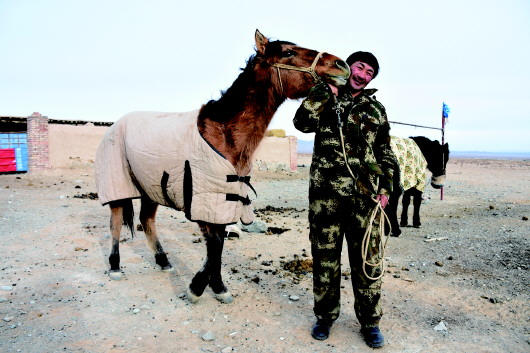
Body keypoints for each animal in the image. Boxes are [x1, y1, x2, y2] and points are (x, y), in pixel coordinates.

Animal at [94, 29, 350, 302]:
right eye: (289, 52)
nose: (341, 65)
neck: (224, 135)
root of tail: (115, 124)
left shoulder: (226, 198)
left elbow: (219, 243)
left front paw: (217, 287)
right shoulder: (203, 199)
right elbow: (214, 244)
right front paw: (197, 288)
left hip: (150, 187)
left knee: (147, 221)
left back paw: (163, 261)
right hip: (119, 186)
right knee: (116, 221)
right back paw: (115, 266)